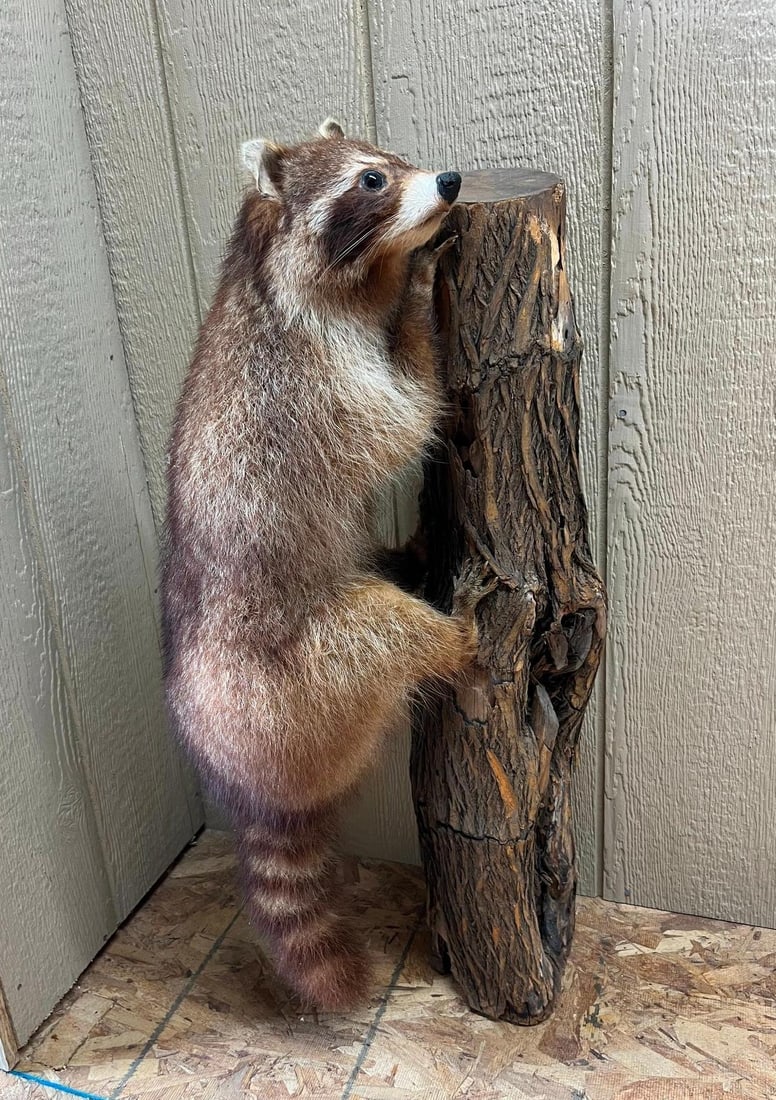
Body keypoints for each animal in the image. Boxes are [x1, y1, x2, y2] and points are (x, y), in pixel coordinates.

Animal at [161, 118, 473, 1011]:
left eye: (395, 159)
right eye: (372, 181)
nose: (449, 181)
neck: (259, 270)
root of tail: (250, 774)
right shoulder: (310, 380)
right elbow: (405, 413)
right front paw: (416, 292)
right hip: (299, 683)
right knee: (383, 629)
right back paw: (464, 641)